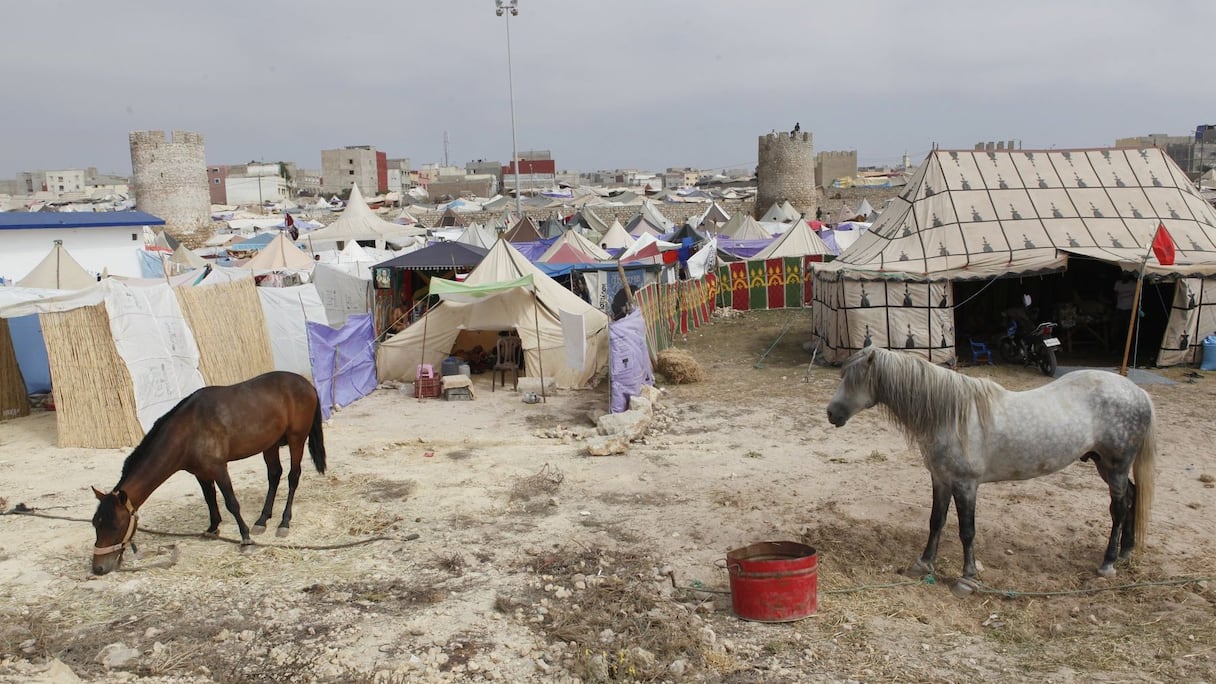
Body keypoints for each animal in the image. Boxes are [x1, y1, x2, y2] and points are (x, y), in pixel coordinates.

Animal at [89, 369, 325, 572]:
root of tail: (306, 383)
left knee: (293, 477)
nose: (98, 568)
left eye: (116, 526)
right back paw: (262, 520)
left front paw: (245, 538)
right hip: (271, 443)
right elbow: (210, 498)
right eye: (95, 524)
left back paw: (284, 522)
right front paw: (213, 529)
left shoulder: (218, 468)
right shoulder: (200, 472)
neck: (188, 429)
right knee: (274, 475)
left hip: (296, 439)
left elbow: (231, 502)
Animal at [826, 345, 1157, 591]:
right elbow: (936, 521)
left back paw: (1108, 563)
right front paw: (923, 563)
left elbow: (967, 531)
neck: (952, 416)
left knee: (1118, 508)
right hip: (1104, 464)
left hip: (1115, 465)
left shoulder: (965, 485)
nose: (831, 413)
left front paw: (967, 578)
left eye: (855, 379)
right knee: (1131, 497)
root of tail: (1138, 393)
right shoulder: (941, 479)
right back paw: (1126, 551)